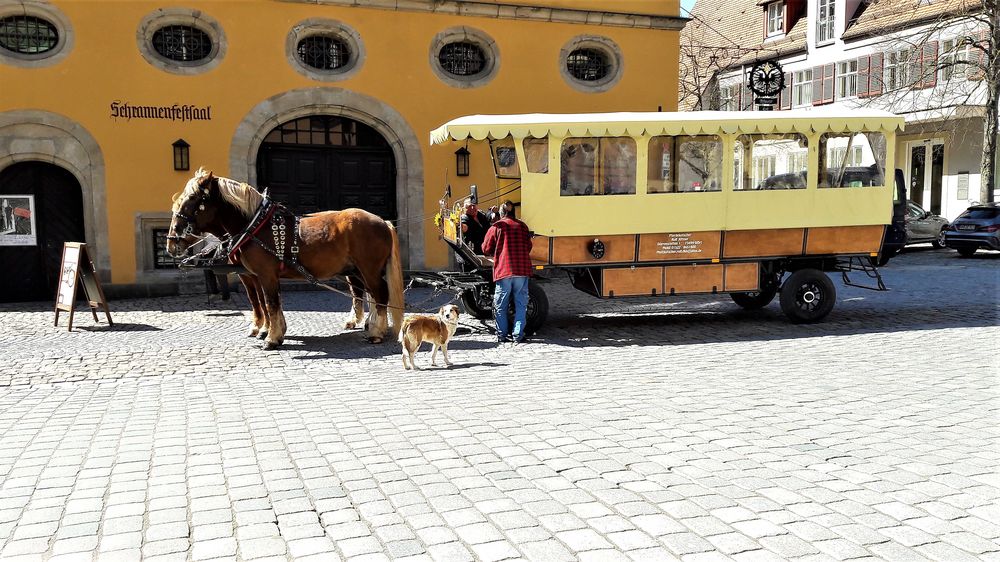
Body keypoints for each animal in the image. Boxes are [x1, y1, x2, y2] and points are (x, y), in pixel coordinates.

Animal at [166, 168, 404, 348]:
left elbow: (269, 303)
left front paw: (270, 337)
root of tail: (383, 221)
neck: (254, 226)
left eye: (192, 200)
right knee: (367, 294)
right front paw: (271, 331)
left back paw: (376, 332)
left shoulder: (263, 274)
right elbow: (265, 302)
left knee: (380, 294)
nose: (171, 241)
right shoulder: (256, 275)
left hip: (369, 269)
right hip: (357, 270)